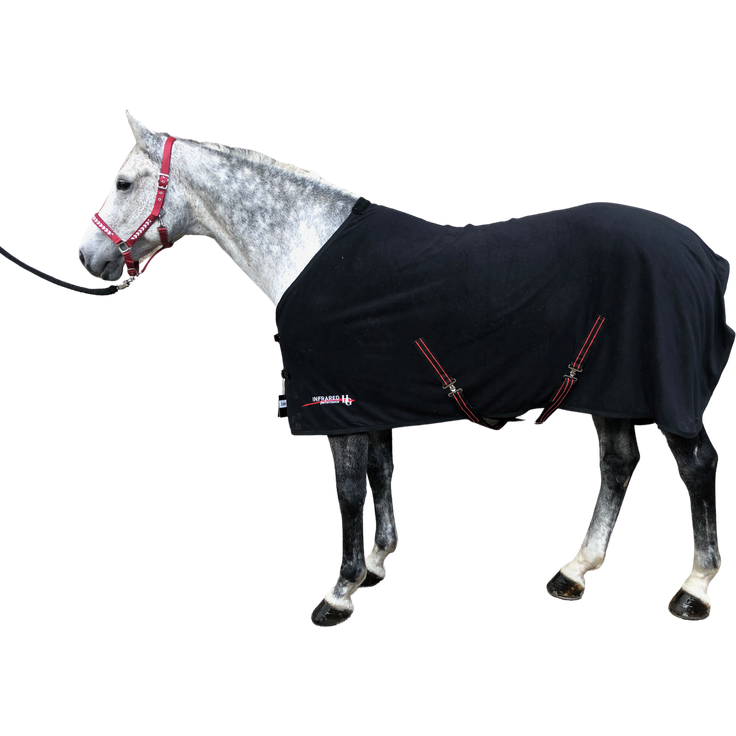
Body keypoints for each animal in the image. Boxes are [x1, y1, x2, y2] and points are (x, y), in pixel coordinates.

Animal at [77, 111, 730, 625]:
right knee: (619, 466)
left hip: (663, 394)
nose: (88, 257)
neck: (307, 248)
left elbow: (347, 491)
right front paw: (375, 561)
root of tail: (700, 254)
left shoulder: (335, 404)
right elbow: (381, 474)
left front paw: (339, 591)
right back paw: (574, 570)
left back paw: (694, 588)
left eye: (124, 181)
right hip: (606, 389)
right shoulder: (373, 398)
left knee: (696, 467)